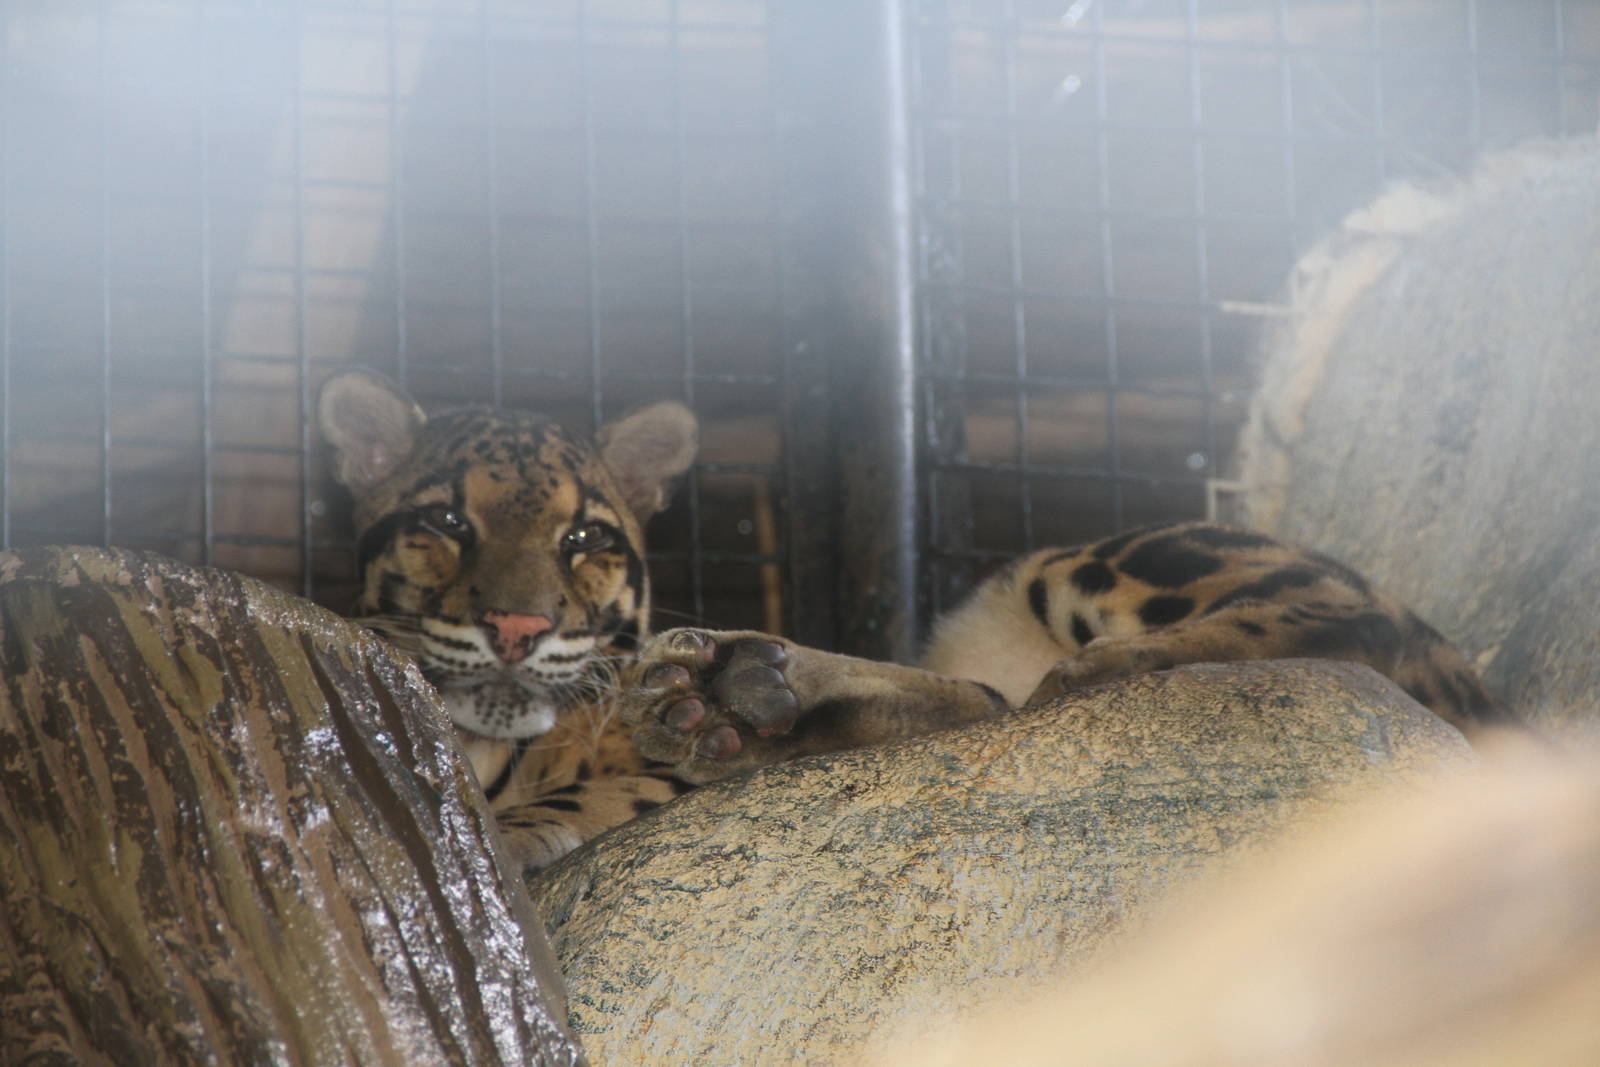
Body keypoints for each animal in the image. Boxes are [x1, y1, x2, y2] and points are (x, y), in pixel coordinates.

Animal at [319, 370, 1513, 875]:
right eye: (445, 521)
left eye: (583, 538)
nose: (518, 624)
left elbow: (599, 784)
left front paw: (513, 831)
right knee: (980, 704)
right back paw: (745, 693)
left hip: (1114, 563)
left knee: (1355, 624)